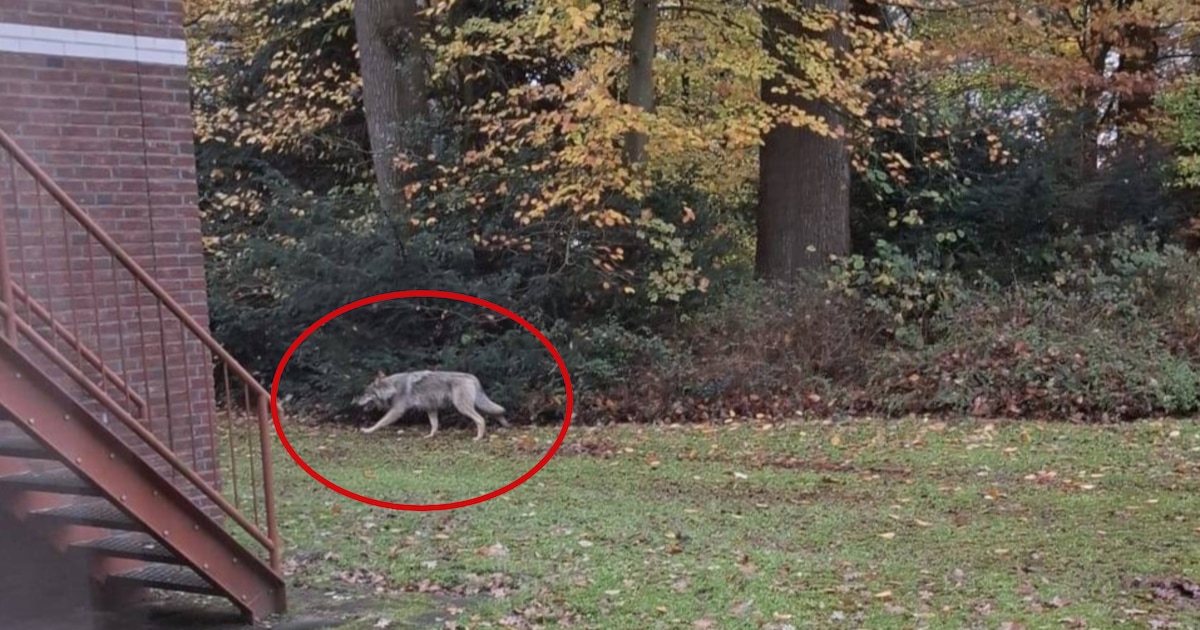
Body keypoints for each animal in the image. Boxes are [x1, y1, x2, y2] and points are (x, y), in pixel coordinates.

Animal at [353, 370, 510, 440]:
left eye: (365, 393)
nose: (355, 403)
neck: (393, 387)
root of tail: (472, 377)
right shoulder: (431, 408)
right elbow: (434, 425)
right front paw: (430, 436)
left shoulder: (396, 411)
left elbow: (379, 423)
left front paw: (368, 430)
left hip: (462, 407)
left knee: (481, 419)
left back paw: (478, 438)